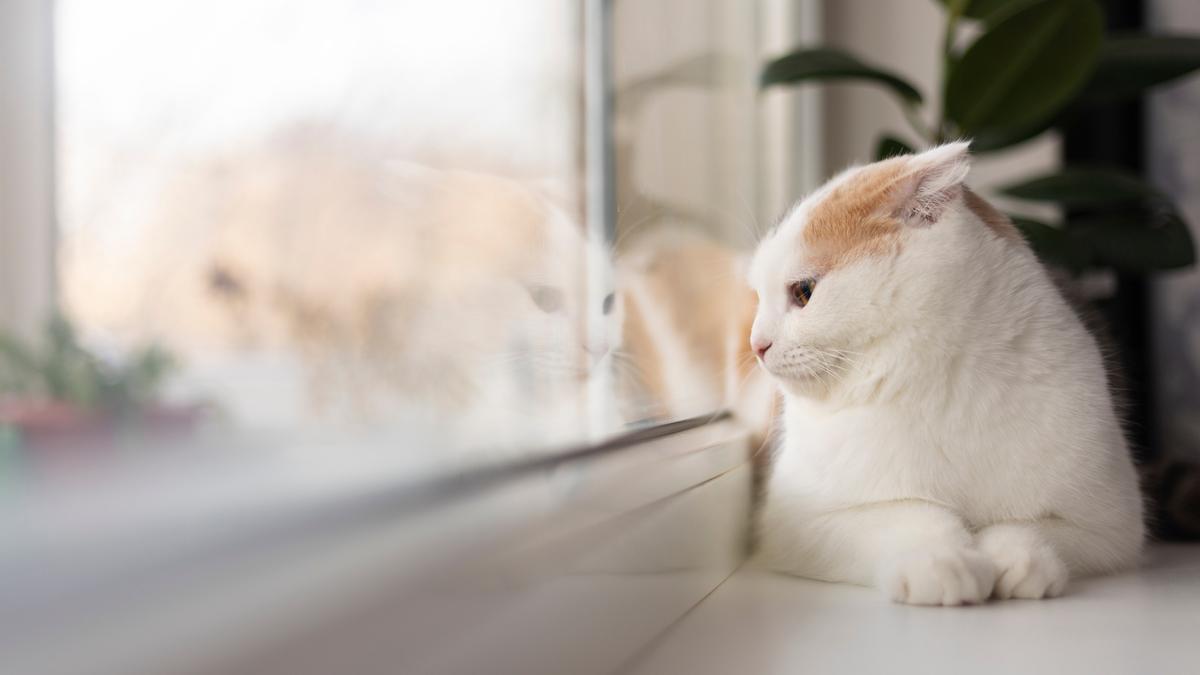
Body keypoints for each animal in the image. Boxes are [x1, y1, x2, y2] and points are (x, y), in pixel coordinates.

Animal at [748, 142, 1142, 605]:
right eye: (758, 297)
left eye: (803, 292)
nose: (756, 344)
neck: (934, 386)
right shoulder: (797, 525)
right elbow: (904, 515)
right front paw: (941, 560)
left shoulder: (1112, 526)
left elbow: (1030, 527)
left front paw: (1016, 559)